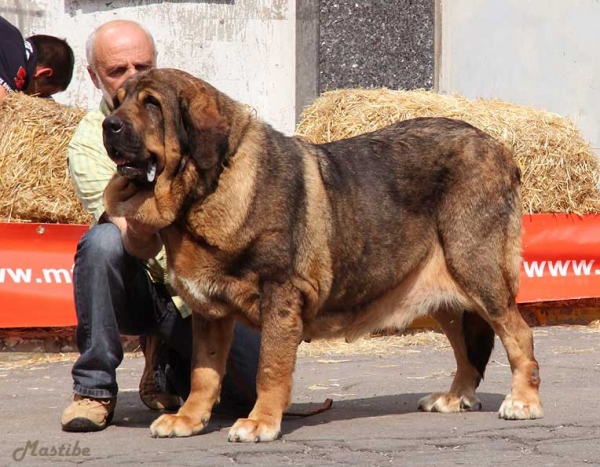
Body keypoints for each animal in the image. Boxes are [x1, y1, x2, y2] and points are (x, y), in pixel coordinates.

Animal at [103, 68, 544, 442]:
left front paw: (261, 422)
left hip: (477, 272)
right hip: (445, 292)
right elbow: (204, 372)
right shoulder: (209, 313)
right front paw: (190, 418)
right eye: (118, 101)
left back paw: (523, 401)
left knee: (518, 334)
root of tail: (499, 147)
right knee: (466, 346)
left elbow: (270, 368)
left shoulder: (281, 296)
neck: (206, 190)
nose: (110, 125)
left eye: (151, 104)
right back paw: (455, 397)